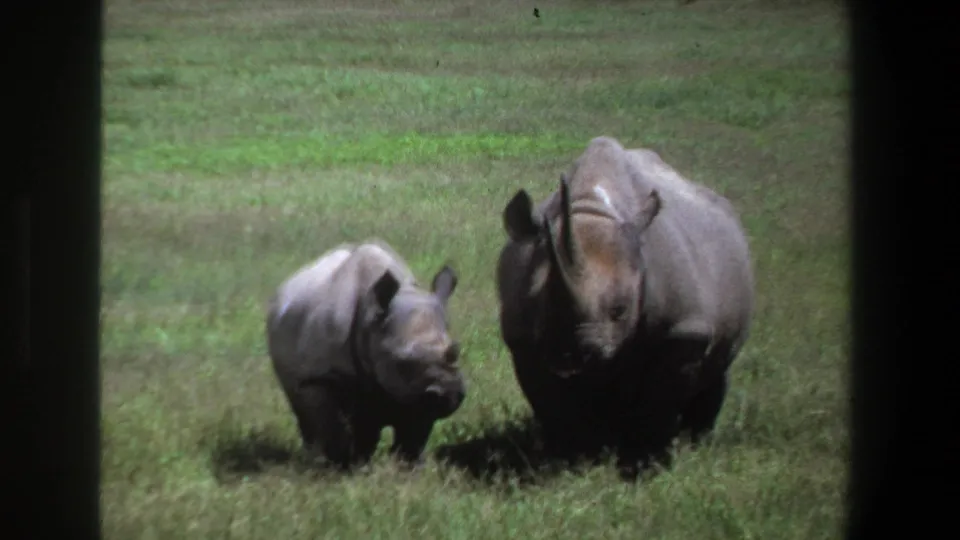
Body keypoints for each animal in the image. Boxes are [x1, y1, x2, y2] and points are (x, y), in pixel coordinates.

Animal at [265, 240, 466, 468]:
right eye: (401, 362)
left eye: (457, 351)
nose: (447, 393)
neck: (370, 317)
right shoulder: (320, 376)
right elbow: (331, 422)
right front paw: (339, 465)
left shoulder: (418, 392)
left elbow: (414, 428)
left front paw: (409, 467)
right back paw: (321, 459)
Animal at [496, 136, 754, 477]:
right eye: (537, 303)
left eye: (620, 310)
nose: (571, 354)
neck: (590, 209)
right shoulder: (523, 339)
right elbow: (551, 403)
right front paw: (573, 459)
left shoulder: (683, 330)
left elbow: (659, 401)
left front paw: (645, 466)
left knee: (717, 371)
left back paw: (696, 443)